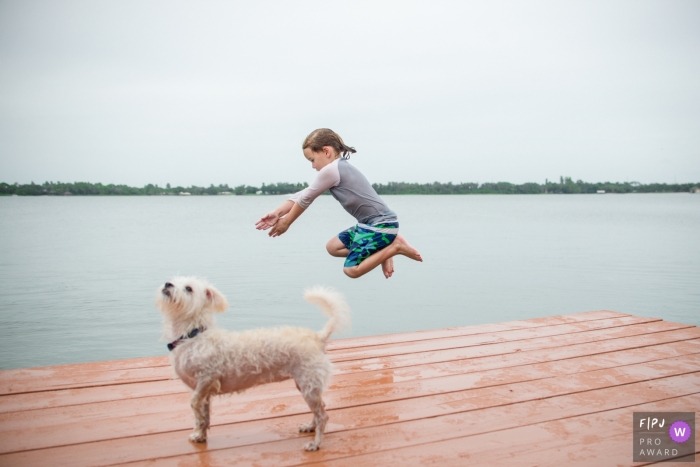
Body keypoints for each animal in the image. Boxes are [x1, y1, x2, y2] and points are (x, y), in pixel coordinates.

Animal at [154, 278, 350, 454]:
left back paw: (315, 444)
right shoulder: (205, 391)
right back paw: (310, 426)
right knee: (320, 408)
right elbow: (204, 416)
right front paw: (200, 435)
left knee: (323, 415)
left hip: (309, 387)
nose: (167, 284)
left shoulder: (207, 379)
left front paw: (199, 426)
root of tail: (318, 337)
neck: (191, 336)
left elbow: (194, 404)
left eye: (188, 288)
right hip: (306, 386)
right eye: (173, 280)